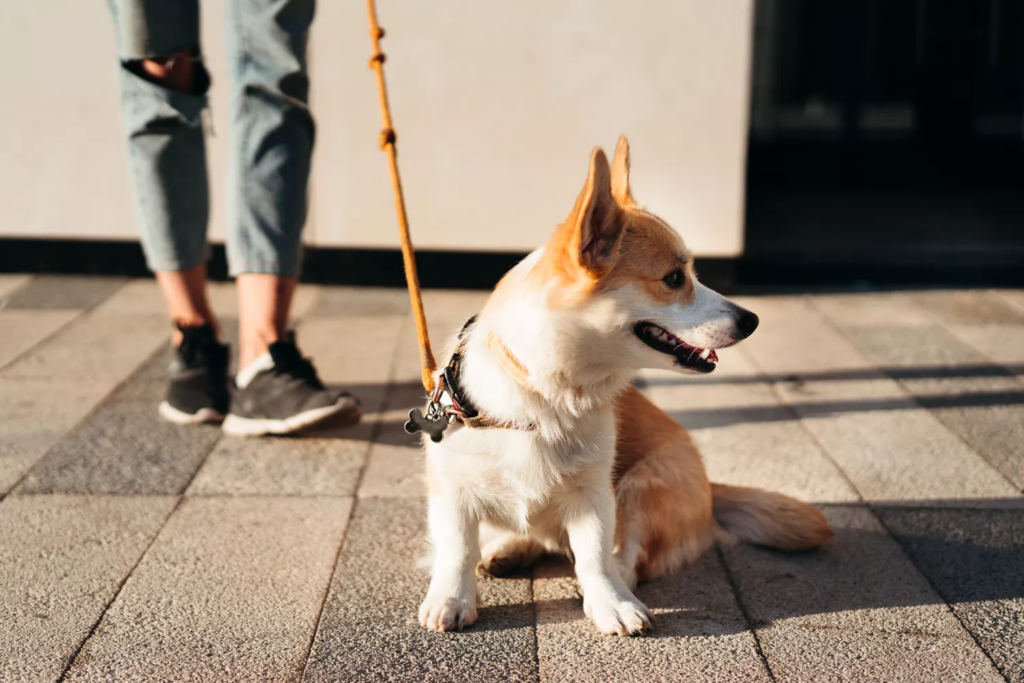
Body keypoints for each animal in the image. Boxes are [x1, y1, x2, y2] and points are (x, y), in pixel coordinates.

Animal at [415, 137, 831, 634]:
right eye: (674, 278)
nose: (752, 320)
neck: (546, 397)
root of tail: (712, 489)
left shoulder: (596, 494)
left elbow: (596, 555)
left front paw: (611, 604)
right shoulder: (452, 491)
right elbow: (457, 549)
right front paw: (451, 599)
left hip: (643, 487)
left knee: (627, 555)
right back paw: (507, 551)